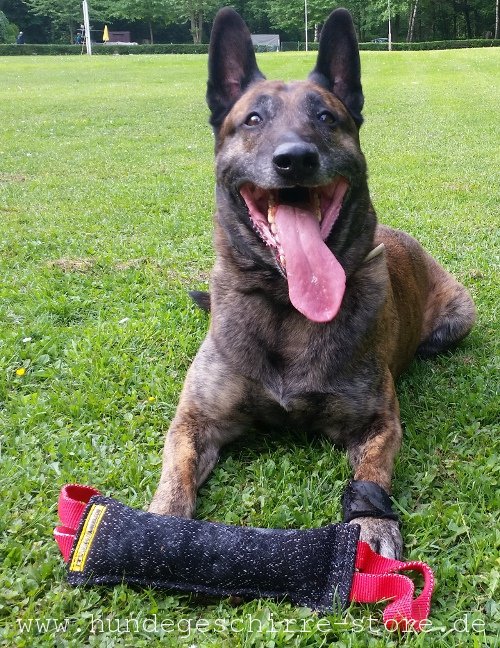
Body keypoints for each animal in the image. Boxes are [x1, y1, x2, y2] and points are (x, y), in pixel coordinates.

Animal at [146, 7, 474, 560]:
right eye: (253, 119)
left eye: (326, 117)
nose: (294, 158)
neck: (286, 307)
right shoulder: (196, 421)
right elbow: (175, 475)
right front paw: (158, 524)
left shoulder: (376, 423)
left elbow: (371, 475)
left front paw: (371, 522)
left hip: (461, 314)